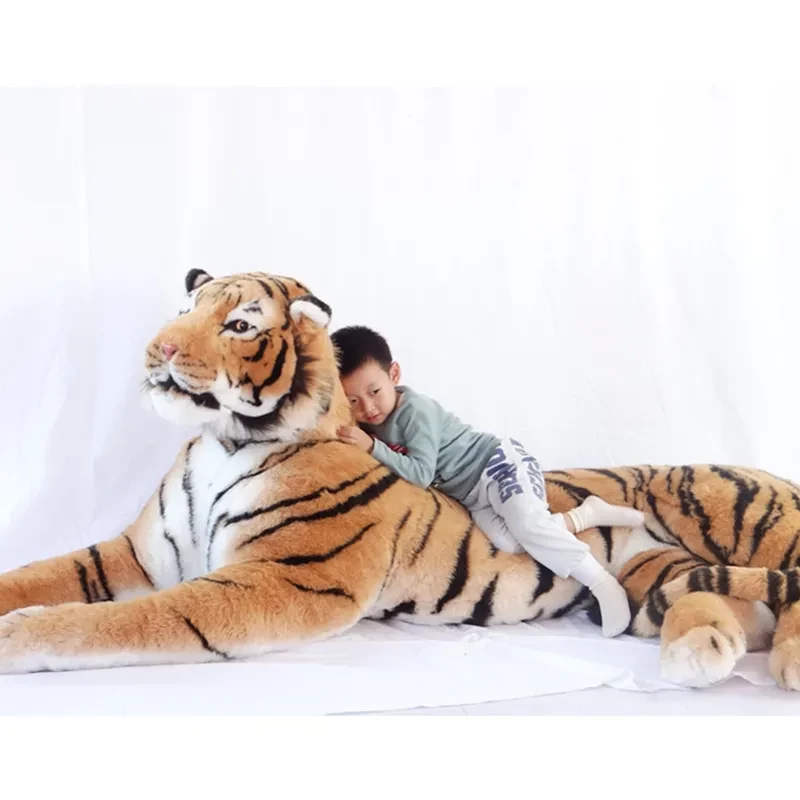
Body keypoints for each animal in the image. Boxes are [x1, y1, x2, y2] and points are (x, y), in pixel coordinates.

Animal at [0, 268, 798, 692]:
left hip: (752, 518)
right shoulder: (136, 553)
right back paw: (703, 653)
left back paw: (782, 663)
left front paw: (16, 635)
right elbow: (44, 574)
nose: (157, 349)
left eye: (239, 324)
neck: (223, 442)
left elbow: (127, 619)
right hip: (662, 578)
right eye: (185, 309)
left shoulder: (282, 579)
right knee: (713, 602)